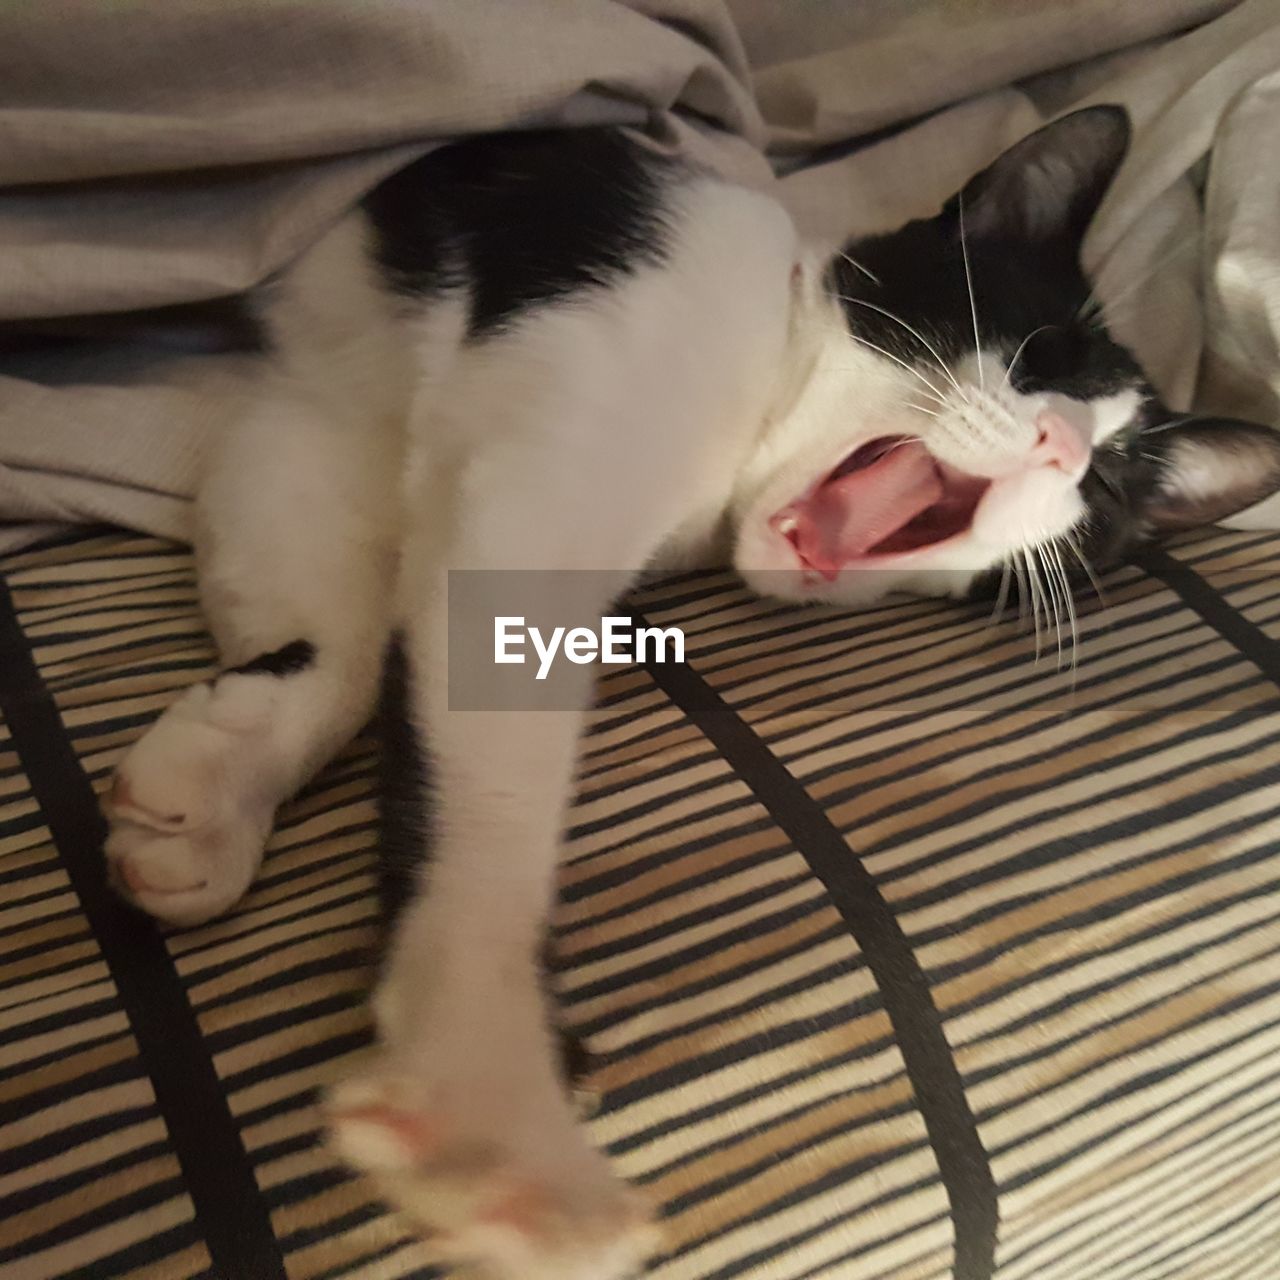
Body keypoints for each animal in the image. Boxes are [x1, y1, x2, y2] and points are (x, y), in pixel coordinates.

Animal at [99, 102, 1280, 1280]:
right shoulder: (552, 410)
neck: (756, 414)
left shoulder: (307, 431)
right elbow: (475, 772)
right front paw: (489, 1088)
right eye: (1034, 354)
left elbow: (339, 618)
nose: (1064, 446)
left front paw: (218, 776)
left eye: (1110, 486)